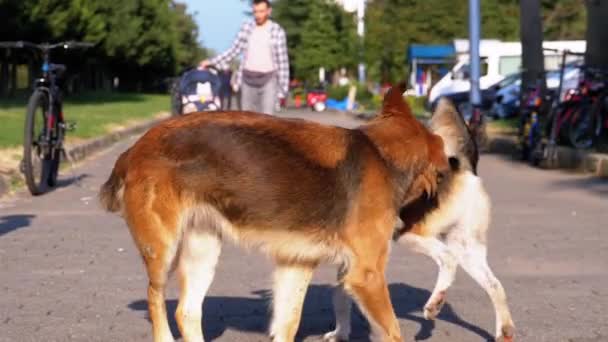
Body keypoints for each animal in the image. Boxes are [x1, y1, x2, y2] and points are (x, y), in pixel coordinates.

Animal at [100, 84, 448, 340]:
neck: (383, 152)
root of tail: (134, 149)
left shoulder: (296, 264)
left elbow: (287, 324)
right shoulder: (367, 275)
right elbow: (393, 330)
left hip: (203, 250)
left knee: (186, 311)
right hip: (162, 251)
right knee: (156, 300)